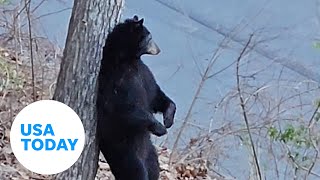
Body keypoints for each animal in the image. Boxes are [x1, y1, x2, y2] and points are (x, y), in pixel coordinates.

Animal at [97, 15, 176, 180]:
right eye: (150, 37)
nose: (159, 49)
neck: (127, 60)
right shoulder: (117, 81)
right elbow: (125, 109)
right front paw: (160, 128)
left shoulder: (144, 75)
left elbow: (155, 95)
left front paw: (168, 120)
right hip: (126, 154)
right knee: (136, 171)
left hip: (150, 155)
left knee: (154, 169)